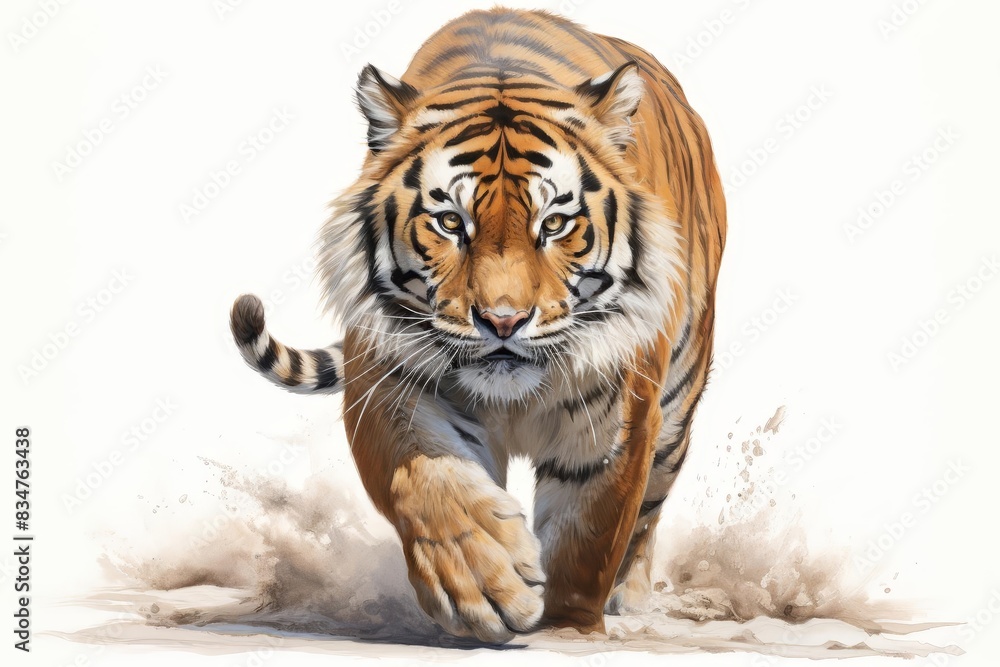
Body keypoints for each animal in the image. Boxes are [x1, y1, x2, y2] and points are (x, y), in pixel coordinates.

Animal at [230, 7, 726, 643]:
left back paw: (631, 598)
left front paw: (564, 630)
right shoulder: (385, 379)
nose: (503, 320)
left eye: (555, 223)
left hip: (678, 405)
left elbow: (587, 536)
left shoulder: (618, 410)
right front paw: (481, 582)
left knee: (648, 512)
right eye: (449, 222)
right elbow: (425, 481)